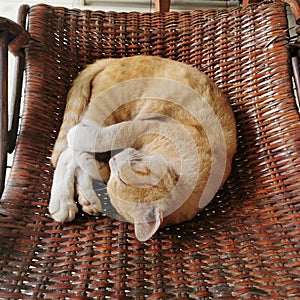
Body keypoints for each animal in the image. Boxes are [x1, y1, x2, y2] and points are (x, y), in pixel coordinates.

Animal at [49, 55, 237, 241]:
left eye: (120, 180)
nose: (115, 159)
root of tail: (114, 59)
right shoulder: (144, 126)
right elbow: (111, 135)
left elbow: (96, 164)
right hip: (106, 112)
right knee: (68, 153)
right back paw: (62, 201)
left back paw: (88, 197)